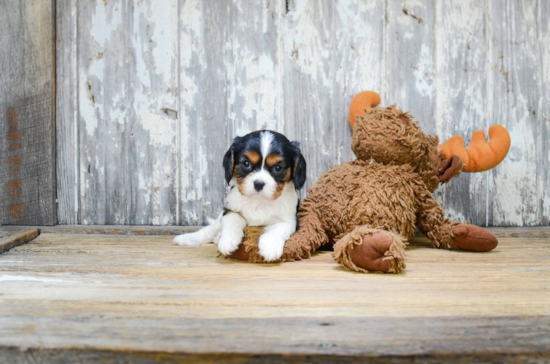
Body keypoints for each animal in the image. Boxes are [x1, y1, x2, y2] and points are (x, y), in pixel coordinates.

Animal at [175, 131, 308, 262]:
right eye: (246, 163)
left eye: (278, 168)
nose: (258, 183)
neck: (259, 201)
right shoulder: (230, 209)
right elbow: (233, 220)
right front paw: (228, 241)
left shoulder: (289, 219)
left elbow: (278, 228)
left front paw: (269, 247)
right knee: (208, 231)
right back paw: (187, 238)